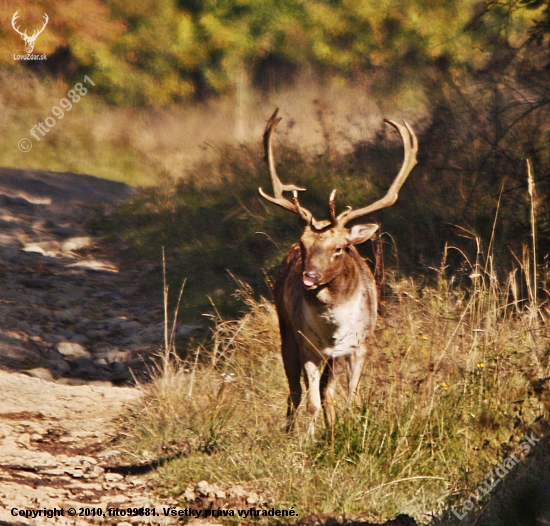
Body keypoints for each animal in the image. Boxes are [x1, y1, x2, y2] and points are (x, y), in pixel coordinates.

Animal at [260, 109, 418, 436]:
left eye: (340, 248)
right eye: (303, 244)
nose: (309, 277)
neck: (333, 328)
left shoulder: (360, 345)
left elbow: (350, 397)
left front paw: (353, 428)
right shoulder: (307, 344)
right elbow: (311, 402)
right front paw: (306, 440)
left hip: (332, 355)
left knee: (326, 390)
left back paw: (331, 429)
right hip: (287, 331)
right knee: (296, 390)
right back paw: (291, 430)